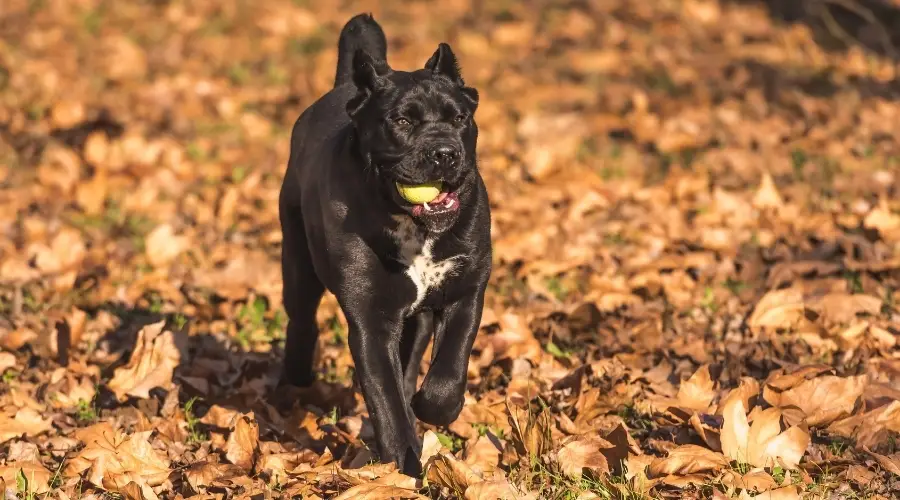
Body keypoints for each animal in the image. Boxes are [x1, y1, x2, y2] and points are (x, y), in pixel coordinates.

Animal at [282, 12, 492, 476]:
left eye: (460, 118)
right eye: (403, 121)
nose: (445, 152)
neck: (415, 230)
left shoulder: (466, 291)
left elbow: (449, 366)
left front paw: (432, 408)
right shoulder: (371, 320)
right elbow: (386, 399)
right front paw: (404, 465)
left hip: (417, 314)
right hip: (298, 264)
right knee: (301, 320)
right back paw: (293, 382)